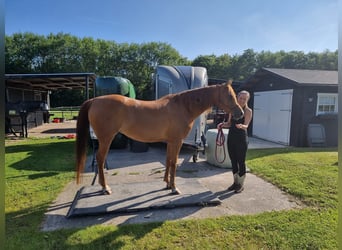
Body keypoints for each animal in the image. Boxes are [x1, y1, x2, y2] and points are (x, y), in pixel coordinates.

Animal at [76, 81, 244, 194]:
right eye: (230, 95)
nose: (240, 113)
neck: (183, 106)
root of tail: (95, 100)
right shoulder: (177, 141)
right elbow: (174, 162)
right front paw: (174, 188)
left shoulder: (170, 141)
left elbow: (168, 160)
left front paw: (167, 184)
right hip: (106, 139)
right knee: (100, 159)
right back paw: (105, 188)